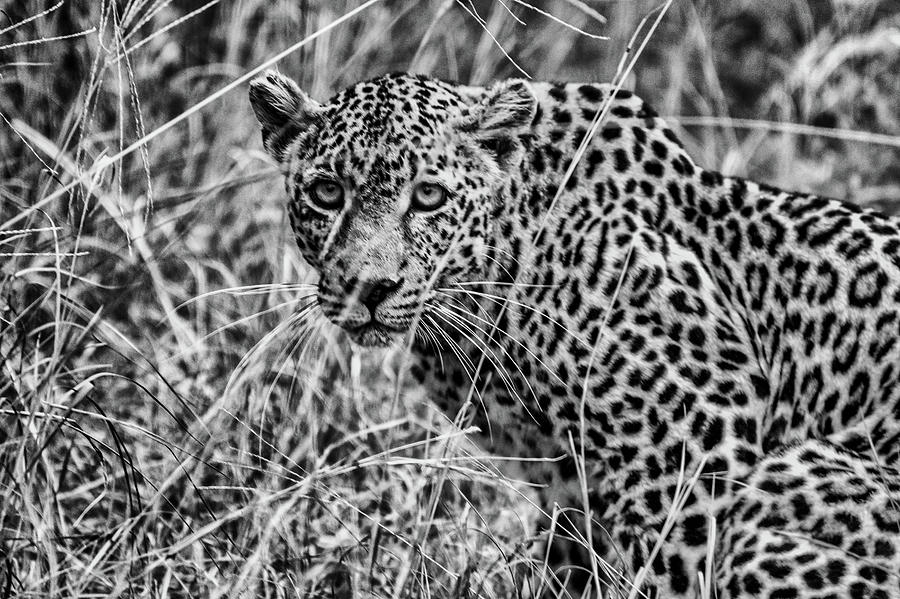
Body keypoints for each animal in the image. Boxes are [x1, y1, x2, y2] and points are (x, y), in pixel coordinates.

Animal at [250, 71, 900, 599]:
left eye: (428, 197)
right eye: (326, 193)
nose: (368, 286)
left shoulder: (696, 439)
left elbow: (665, 568)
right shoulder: (568, 476)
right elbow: (568, 561)